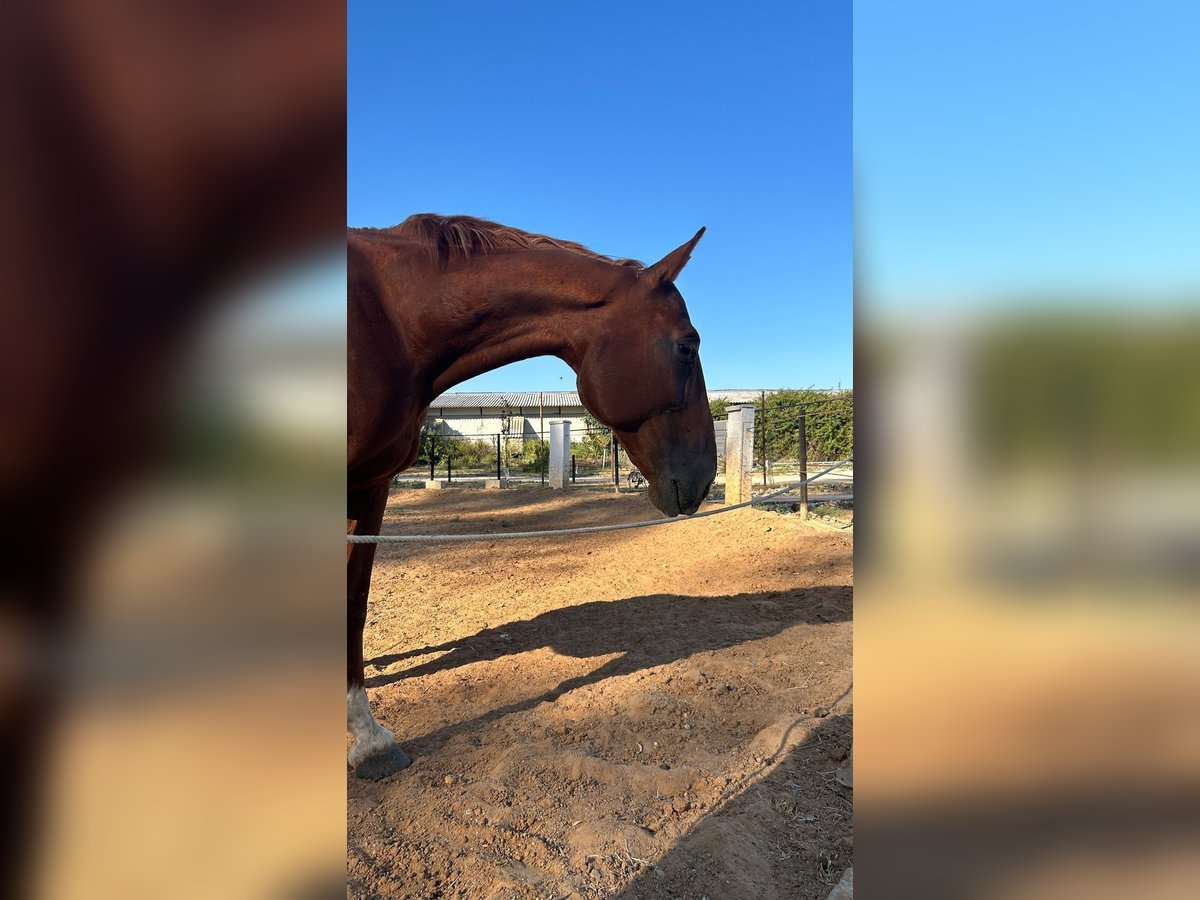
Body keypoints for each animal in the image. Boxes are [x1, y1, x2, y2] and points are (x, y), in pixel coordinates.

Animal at [350, 214, 715, 777]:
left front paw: (365, 737)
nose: (707, 475)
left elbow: (355, 600)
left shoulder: (369, 489)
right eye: (687, 346)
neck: (388, 321)